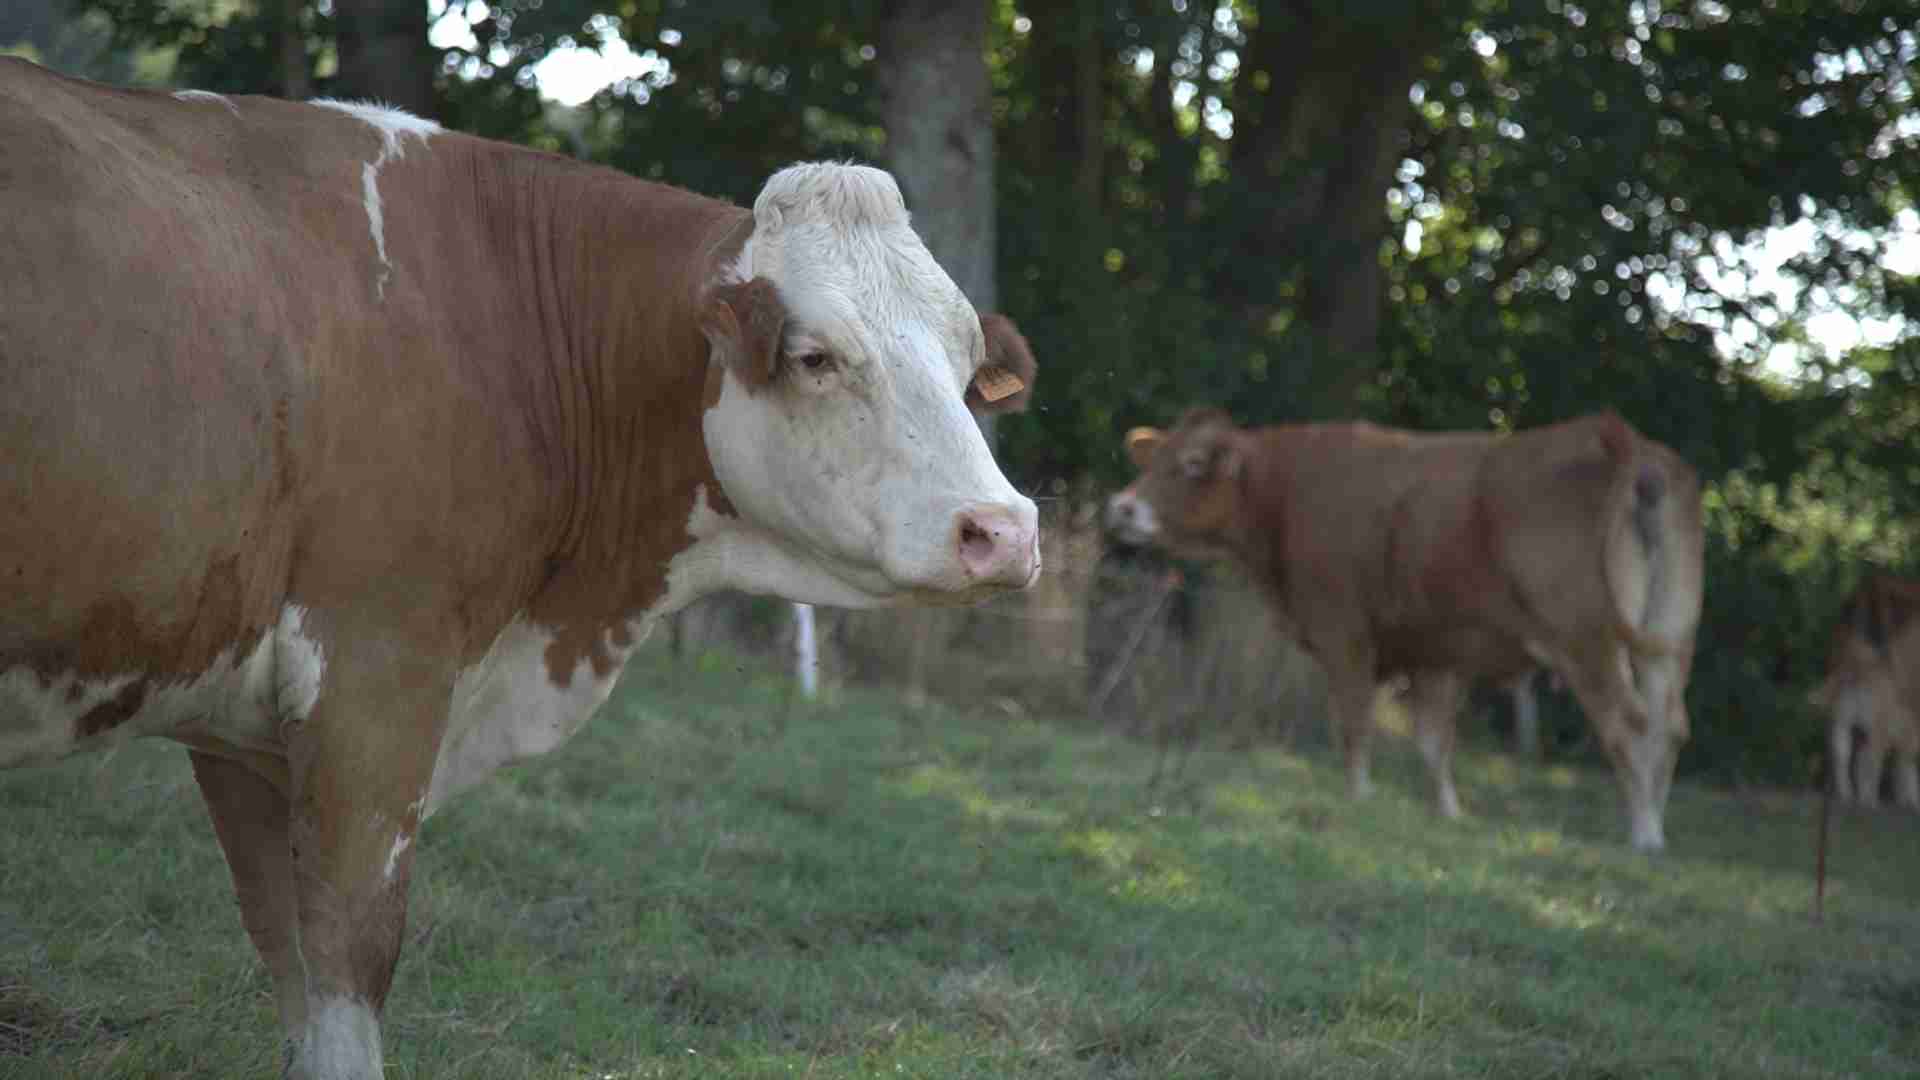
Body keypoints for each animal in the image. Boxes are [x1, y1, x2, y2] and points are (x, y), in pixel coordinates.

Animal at [0, 58, 1044, 1076]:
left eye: (964, 361)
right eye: (816, 356)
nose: (1003, 530)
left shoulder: (238, 734)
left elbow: (287, 960)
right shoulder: (374, 683)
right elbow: (350, 964)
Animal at [1113, 405, 1712, 849]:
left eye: (1191, 463)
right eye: (1152, 458)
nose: (1121, 507)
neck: (1289, 492)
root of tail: (1617, 436)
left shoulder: (1344, 633)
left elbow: (1355, 724)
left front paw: (1358, 797)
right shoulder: (1436, 653)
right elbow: (1432, 742)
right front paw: (1450, 814)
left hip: (1585, 638)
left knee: (1629, 721)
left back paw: (1643, 832)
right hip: (1669, 636)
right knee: (1670, 723)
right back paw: (1656, 827)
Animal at [1812, 576, 1920, 803]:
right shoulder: (1905, 738)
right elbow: (1907, 773)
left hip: (1841, 721)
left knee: (1842, 755)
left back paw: (1846, 795)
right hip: (1873, 730)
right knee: (1869, 762)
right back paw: (1868, 801)